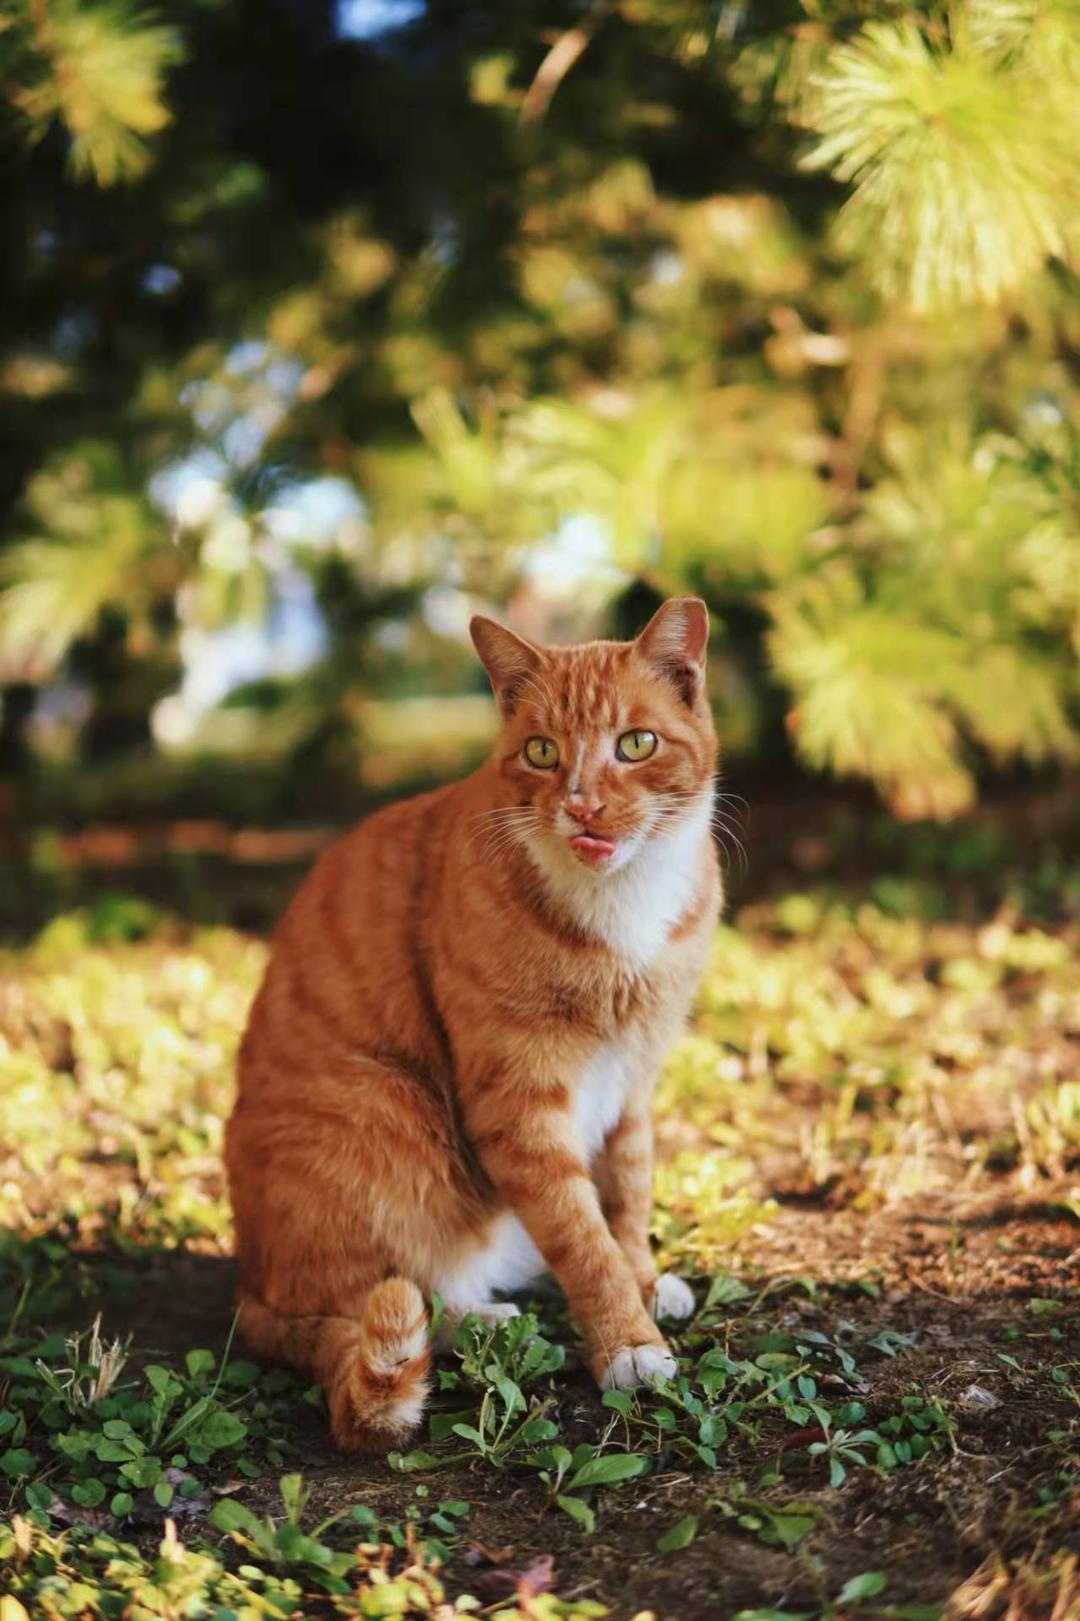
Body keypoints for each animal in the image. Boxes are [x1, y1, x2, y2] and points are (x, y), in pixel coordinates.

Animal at [222, 599, 720, 1458]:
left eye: (636, 743)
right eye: (543, 751)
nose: (583, 804)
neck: (623, 905)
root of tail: (250, 1284)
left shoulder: (633, 1079)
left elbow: (625, 1196)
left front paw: (646, 1280)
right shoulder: (519, 1103)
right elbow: (582, 1235)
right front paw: (628, 1342)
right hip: (381, 1111)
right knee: (381, 1304)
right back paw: (485, 1321)